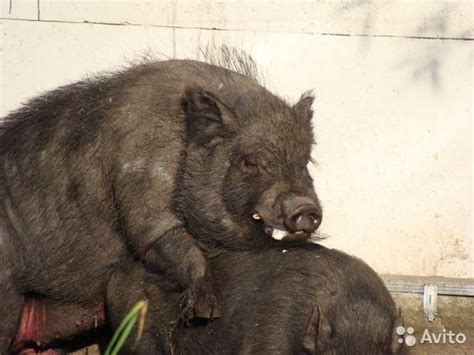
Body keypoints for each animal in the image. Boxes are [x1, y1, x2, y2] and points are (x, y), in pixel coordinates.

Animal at [0, 51, 322, 354]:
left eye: (304, 161)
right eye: (250, 161)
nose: (306, 208)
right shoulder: (144, 199)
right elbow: (171, 241)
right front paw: (207, 313)